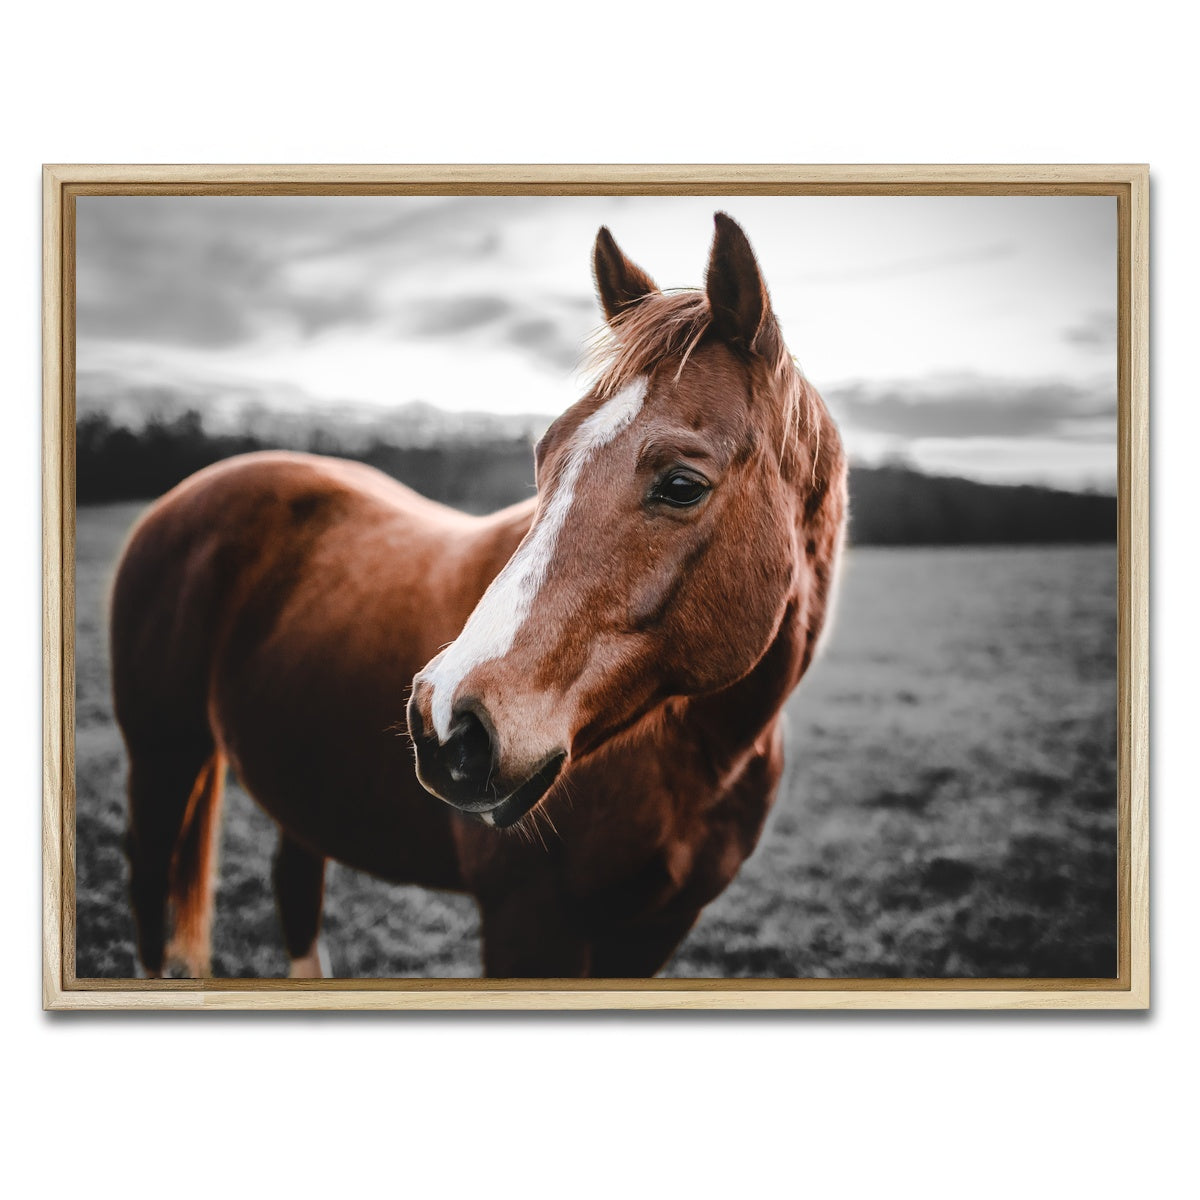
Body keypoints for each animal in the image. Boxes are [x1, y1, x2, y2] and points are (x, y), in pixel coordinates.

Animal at [110, 212, 847, 979]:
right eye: (544, 456)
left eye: (681, 484)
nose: (444, 723)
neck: (700, 757)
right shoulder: (530, 924)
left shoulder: (654, 932)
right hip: (161, 757)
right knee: (151, 881)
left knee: (295, 883)